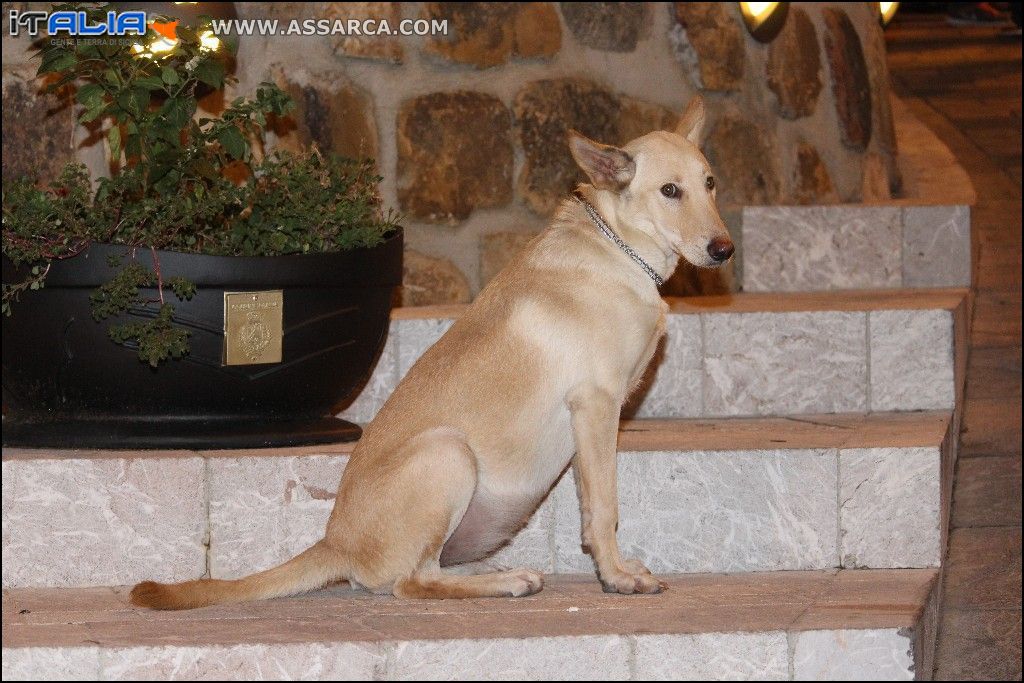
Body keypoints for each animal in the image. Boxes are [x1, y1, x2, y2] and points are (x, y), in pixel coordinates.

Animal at [132, 94, 733, 610]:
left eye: (710, 184)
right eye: (670, 191)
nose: (724, 250)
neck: (620, 248)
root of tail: (337, 543)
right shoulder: (595, 408)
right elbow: (604, 509)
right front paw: (617, 577)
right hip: (449, 452)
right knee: (411, 584)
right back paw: (505, 582)